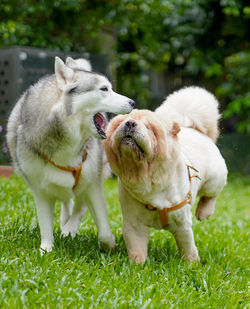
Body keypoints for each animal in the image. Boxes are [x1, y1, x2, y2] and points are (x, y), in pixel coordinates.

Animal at [6, 56, 135, 251]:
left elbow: (103, 229)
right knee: (67, 200)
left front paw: (109, 245)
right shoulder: (40, 189)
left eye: (110, 88)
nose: (133, 102)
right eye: (104, 89)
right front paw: (46, 249)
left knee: (79, 205)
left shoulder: (92, 184)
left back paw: (69, 228)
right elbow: (45, 224)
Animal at [104, 86, 228, 262]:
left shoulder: (182, 223)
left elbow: (187, 247)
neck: (146, 177)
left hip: (214, 179)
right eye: (119, 124)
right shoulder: (134, 225)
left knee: (212, 195)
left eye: (149, 128)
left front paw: (192, 263)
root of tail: (195, 130)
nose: (129, 123)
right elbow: (137, 249)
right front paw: (136, 265)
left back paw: (204, 213)